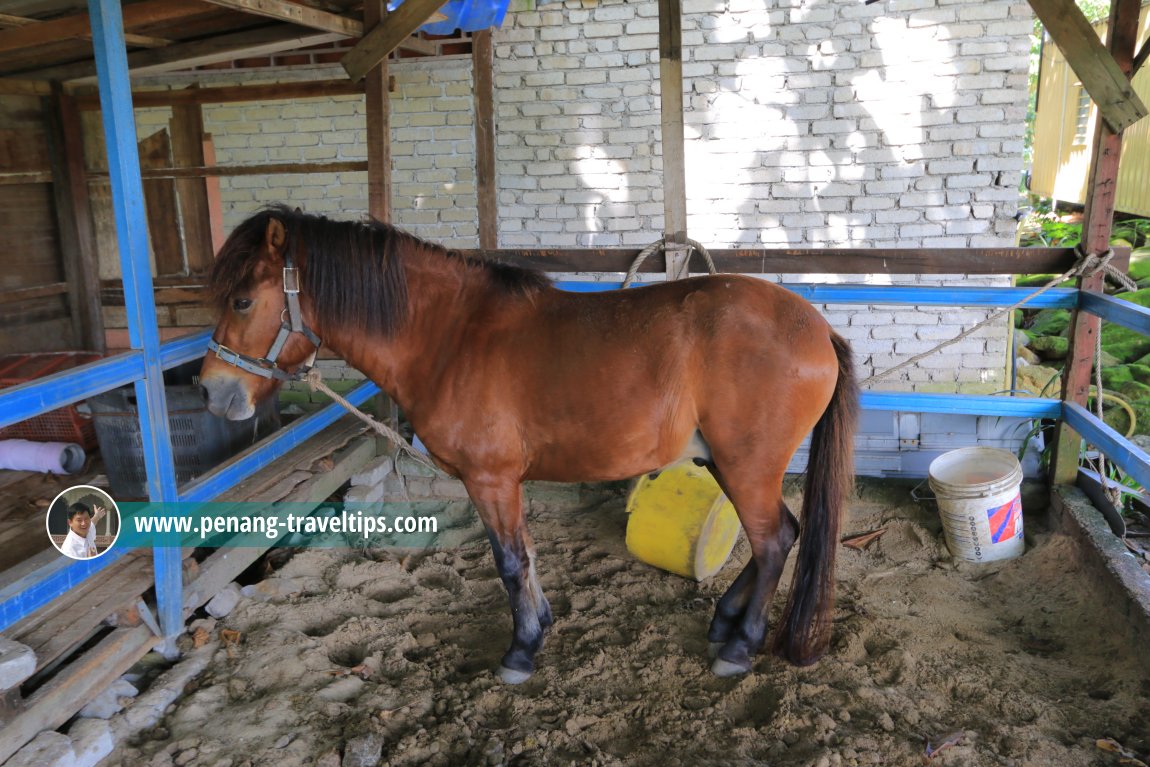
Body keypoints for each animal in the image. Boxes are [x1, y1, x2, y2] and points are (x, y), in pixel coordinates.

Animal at [202, 205, 860, 685]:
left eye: (242, 299)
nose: (212, 391)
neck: (450, 336)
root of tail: (817, 327)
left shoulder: (490, 479)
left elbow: (511, 561)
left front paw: (520, 651)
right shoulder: (503, 482)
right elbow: (527, 554)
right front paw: (540, 622)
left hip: (747, 465)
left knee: (772, 541)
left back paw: (739, 646)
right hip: (726, 462)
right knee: (780, 535)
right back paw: (725, 622)